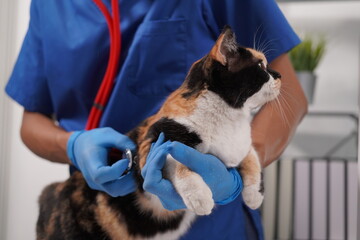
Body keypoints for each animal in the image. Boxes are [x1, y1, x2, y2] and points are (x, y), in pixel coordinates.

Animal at [35, 26, 282, 240]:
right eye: (261, 66)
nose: (279, 75)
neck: (231, 119)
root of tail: (53, 192)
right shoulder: (152, 147)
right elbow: (179, 161)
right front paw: (200, 196)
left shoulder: (241, 147)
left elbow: (252, 160)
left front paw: (254, 196)